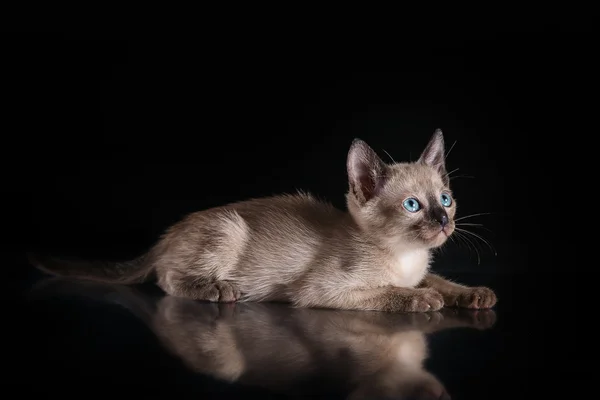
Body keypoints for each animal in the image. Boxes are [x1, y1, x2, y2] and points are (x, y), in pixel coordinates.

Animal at [28, 129, 496, 312]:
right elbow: (388, 293)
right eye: (413, 205)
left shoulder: (421, 270)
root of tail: (171, 231)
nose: (443, 221)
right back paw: (218, 289)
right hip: (230, 228)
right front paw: (421, 300)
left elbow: (442, 281)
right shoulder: (321, 291)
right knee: (165, 277)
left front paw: (473, 294)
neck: (406, 257)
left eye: (446, 200)